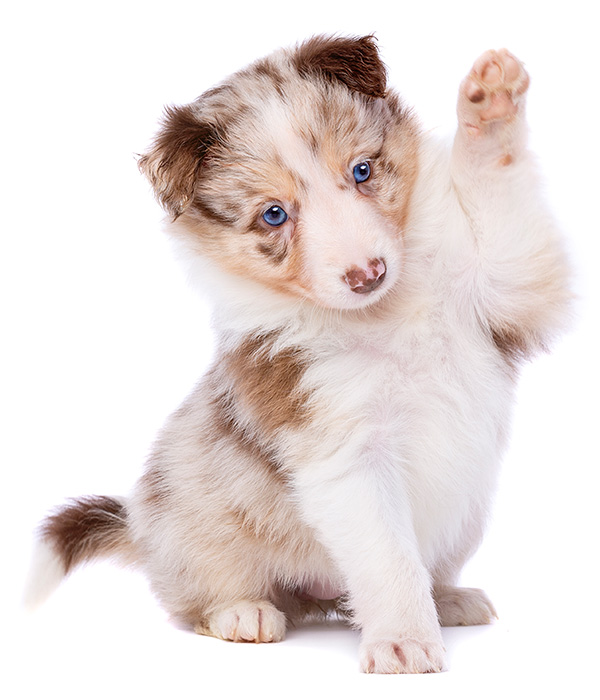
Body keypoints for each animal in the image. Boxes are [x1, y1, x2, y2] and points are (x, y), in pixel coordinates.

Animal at [25, 34, 572, 672]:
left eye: (362, 171)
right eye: (274, 215)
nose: (367, 275)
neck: (385, 314)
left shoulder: (504, 293)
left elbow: (501, 202)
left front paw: (492, 102)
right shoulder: (343, 454)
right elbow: (389, 560)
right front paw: (404, 641)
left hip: (467, 518)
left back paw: (448, 597)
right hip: (194, 522)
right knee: (190, 599)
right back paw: (242, 613)